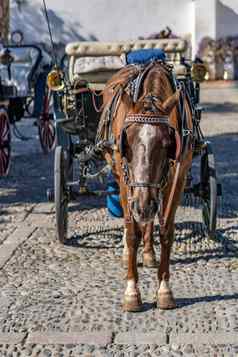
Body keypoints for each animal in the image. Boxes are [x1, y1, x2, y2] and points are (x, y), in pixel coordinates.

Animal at [98, 59, 193, 310]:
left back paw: (149, 252)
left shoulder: (178, 176)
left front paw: (164, 290)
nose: (143, 206)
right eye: (126, 142)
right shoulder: (126, 179)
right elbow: (132, 232)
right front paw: (131, 291)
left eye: (167, 144)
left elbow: (166, 230)